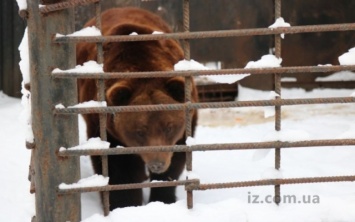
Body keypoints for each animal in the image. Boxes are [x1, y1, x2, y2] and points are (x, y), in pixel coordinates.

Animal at [77, 7, 199, 211]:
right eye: (140, 131)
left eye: (169, 127)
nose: (157, 164)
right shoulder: (105, 127)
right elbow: (118, 169)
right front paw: (124, 204)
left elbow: (176, 160)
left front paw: (163, 198)